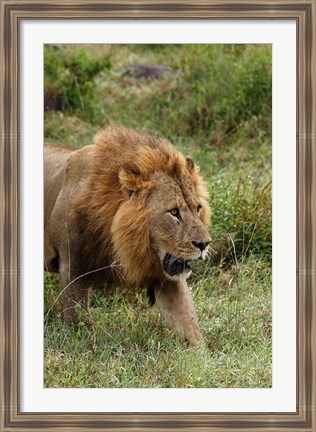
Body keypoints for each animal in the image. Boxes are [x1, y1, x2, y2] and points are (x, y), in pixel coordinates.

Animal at [44, 125, 211, 344]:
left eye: (197, 208)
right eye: (174, 212)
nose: (205, 244)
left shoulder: (166, 276)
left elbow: (189, 324)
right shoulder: (71, 268)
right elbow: (80, 326)